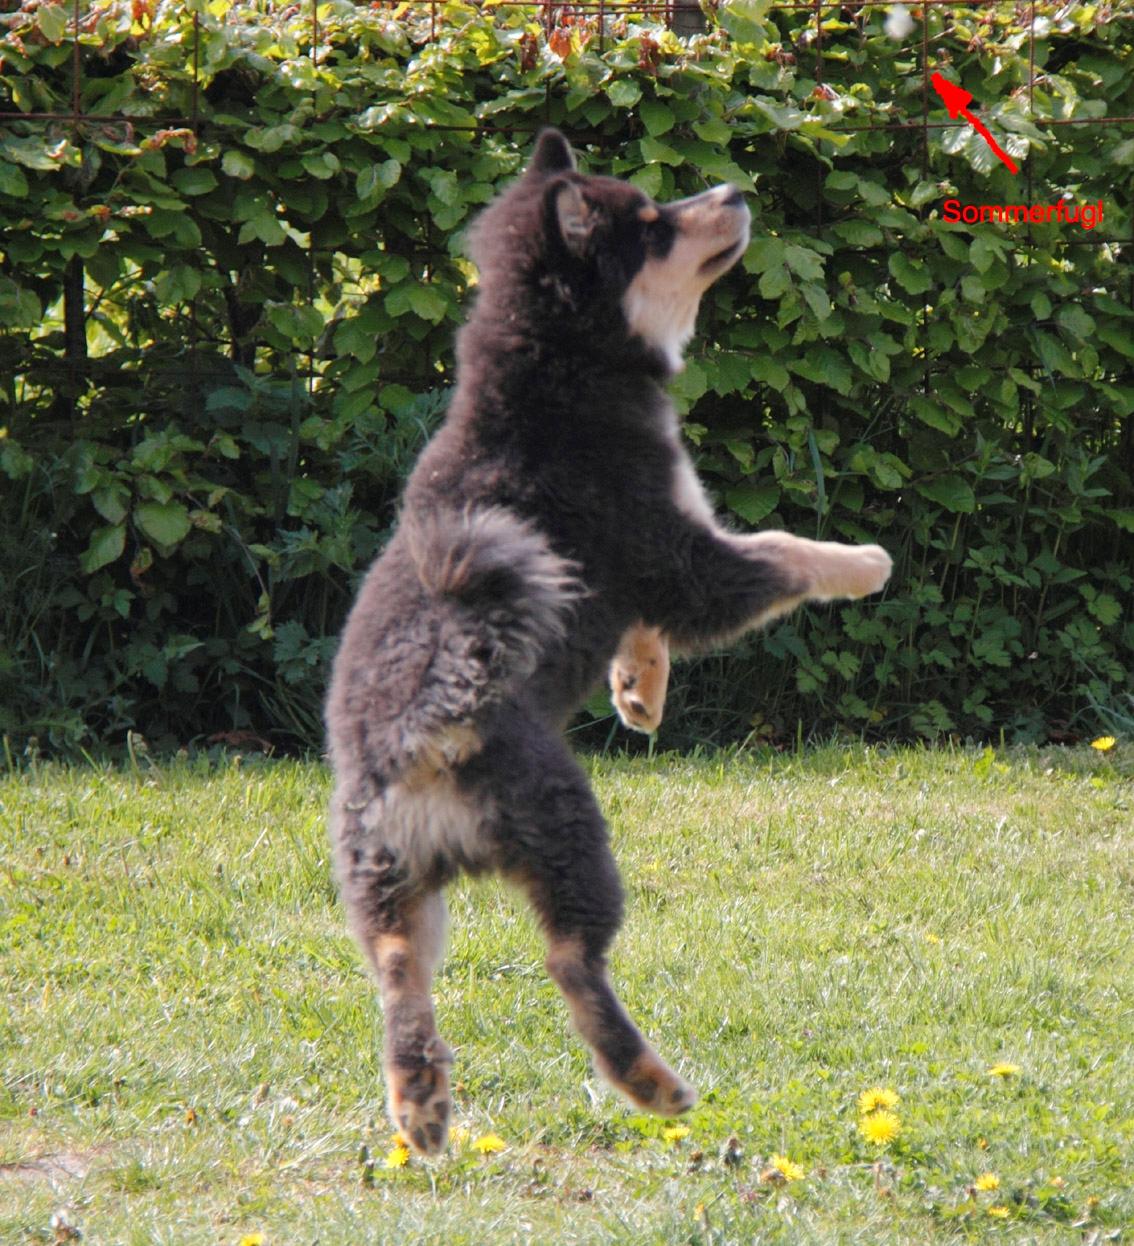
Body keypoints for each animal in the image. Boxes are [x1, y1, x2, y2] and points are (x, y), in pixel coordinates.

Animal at [324, 131, 892, 1151]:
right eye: (655, 226)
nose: (734, 189)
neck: (557, 367)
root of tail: (419, 738)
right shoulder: (681, 552)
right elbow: (782, 553)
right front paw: (864, 563)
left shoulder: (639, 573)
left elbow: (643, 629)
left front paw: (640, 693)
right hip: (569, 838)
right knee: (571, 962)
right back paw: (651, 1082)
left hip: (388, 880)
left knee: (396, 973)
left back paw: (420, 1103)